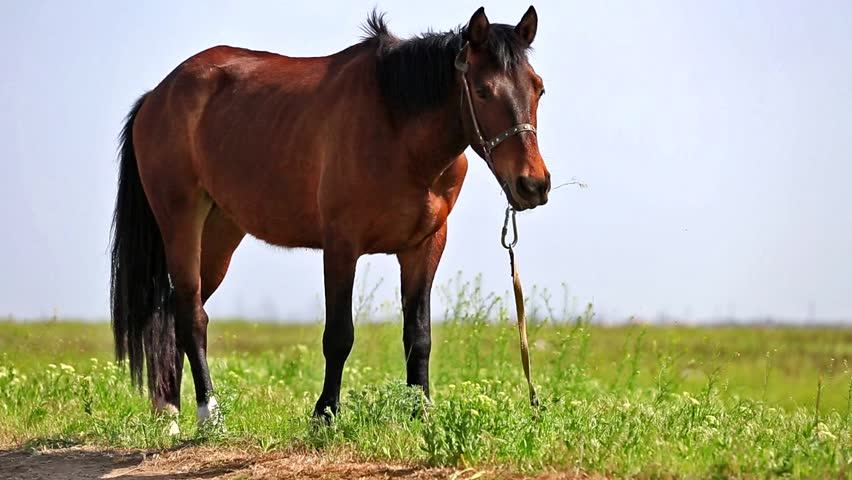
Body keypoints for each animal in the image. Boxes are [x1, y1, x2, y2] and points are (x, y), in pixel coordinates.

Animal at [110, 6, 551, 427]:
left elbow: (419, 336)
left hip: (220, 233)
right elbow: (339, 335)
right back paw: (207, 413)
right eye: (483, 91)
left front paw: (421, 413)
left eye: (538, 87)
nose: (534, 185)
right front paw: (325, 414)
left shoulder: (424, 246)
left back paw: (169, 409)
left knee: (176, 312)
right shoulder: (341, 244)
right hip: (181, 219)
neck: (397, 128)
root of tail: (158, 95)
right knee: (190, 315)